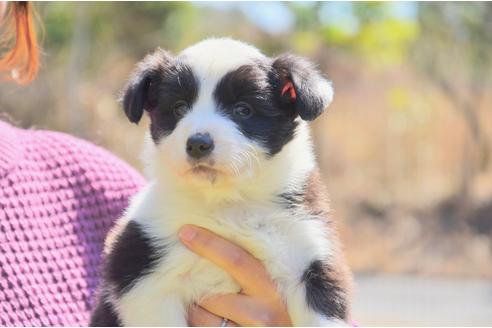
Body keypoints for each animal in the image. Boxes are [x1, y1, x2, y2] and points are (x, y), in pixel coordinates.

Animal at [90, 37, 352, 326]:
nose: (197, 144)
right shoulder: (143, 275)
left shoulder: (311, 259)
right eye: (179, 108)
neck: (228, 203)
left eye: (243, 110)